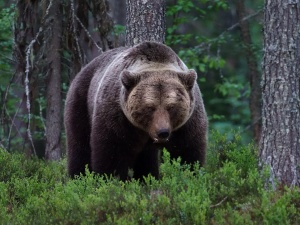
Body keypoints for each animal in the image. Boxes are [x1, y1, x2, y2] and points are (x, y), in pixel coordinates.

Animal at [64, 41, 207, 180]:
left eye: (171, 107)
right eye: (150, 107)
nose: (163, 132)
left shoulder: (188, 122)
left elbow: (188, 151)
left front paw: (190, 174)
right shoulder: (118, 116)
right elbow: (112, 152)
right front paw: (110, 179)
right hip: (81, 100)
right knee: (79, 145)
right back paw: (78, 177)